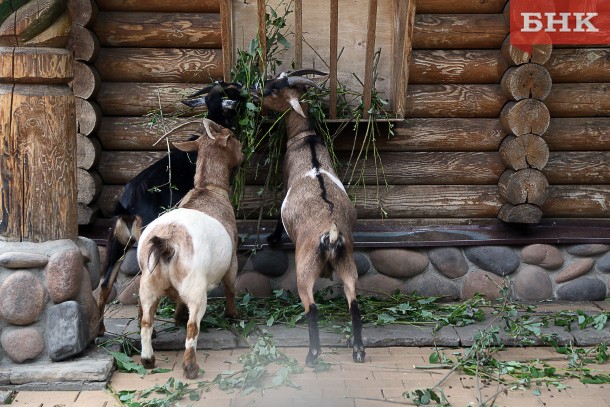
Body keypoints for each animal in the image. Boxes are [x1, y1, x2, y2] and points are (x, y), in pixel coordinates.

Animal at [138, 119, 242, 380]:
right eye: (233, 137)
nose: (244, 154)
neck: (208, 189)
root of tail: (167, 242)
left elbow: (178, 302)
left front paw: (176, 316)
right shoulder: (232, 259)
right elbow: (231, 287)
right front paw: (233, 315)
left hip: (148, 284)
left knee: (146, 320)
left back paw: (148, 359)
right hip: (196, 288)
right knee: (193, 326)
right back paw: (190, 368)